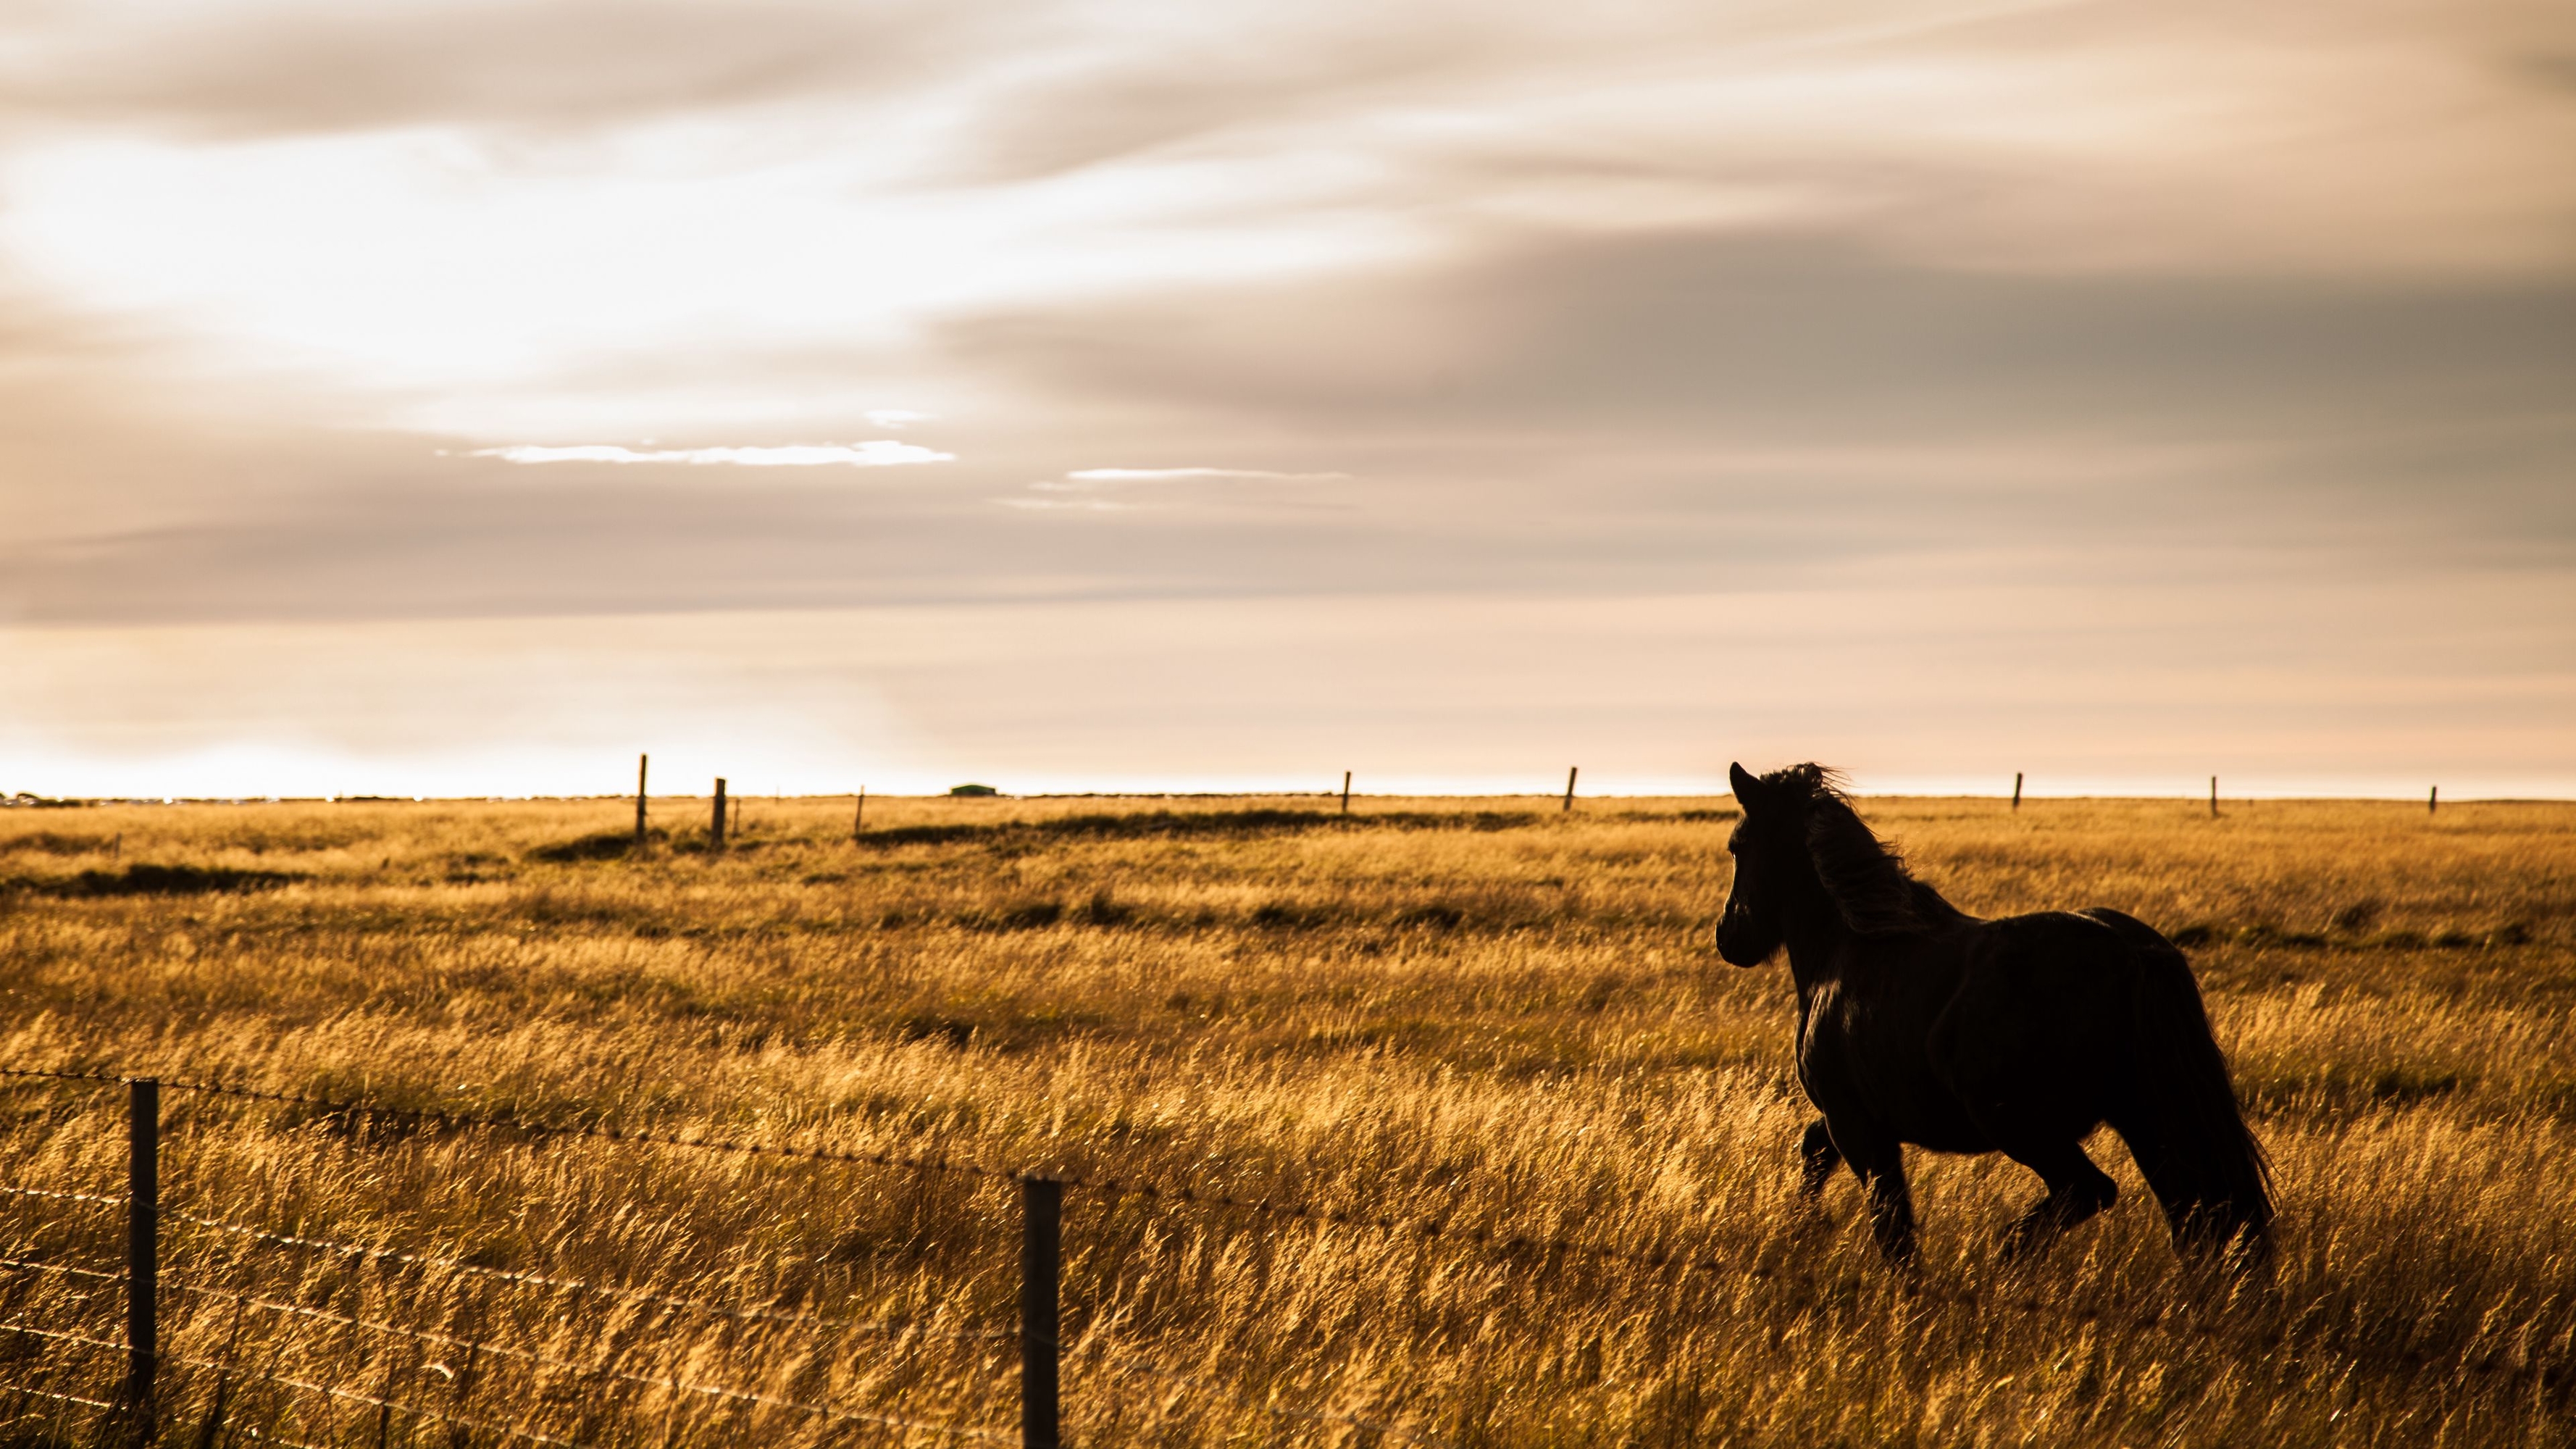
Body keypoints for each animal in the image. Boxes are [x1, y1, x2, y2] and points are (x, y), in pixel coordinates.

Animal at [1720, 763, 2267, 1258]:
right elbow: (1815, 1151)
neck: (1848, 950)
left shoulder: (1854, 1121)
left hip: (2022, 1127)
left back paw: (2005, 1255)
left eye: (1737, 845)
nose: (1728, 936)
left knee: (2091, 1191)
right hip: (2145, 1118)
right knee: (2196, 1218)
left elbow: (1893, 1231)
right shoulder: (1852, 1118)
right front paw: (1801, 1227)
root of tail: (2130, 952)